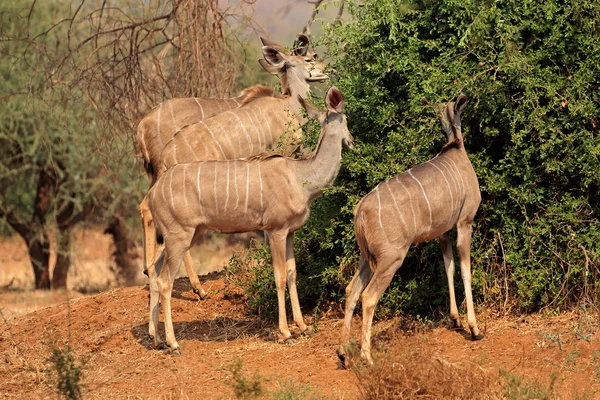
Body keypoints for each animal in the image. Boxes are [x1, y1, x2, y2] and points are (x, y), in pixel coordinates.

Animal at [145, 87, 352, 354]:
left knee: (152, 270)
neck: (300, 177)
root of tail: (153, 193)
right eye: (345, 119)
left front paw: (304, 326)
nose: (352, 140)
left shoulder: (290, 232)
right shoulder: (275, 230)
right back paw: (173, 343)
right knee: (165, 281)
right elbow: (280, 277)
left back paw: (156, 338)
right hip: (179, 237)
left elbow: (293, 273)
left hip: (177, 238)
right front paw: (286, 333)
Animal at [338, 94, 482, 366]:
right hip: (391, 258)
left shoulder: (443, 232)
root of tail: (360, 211)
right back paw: (367, 357)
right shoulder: (464, 222)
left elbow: (448, 267)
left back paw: (342, 353)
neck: (456, 149)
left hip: (366, 257)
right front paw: (474, 328)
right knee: (368, 296)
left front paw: (455, 319)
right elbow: (465, 269)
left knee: (351, 290)